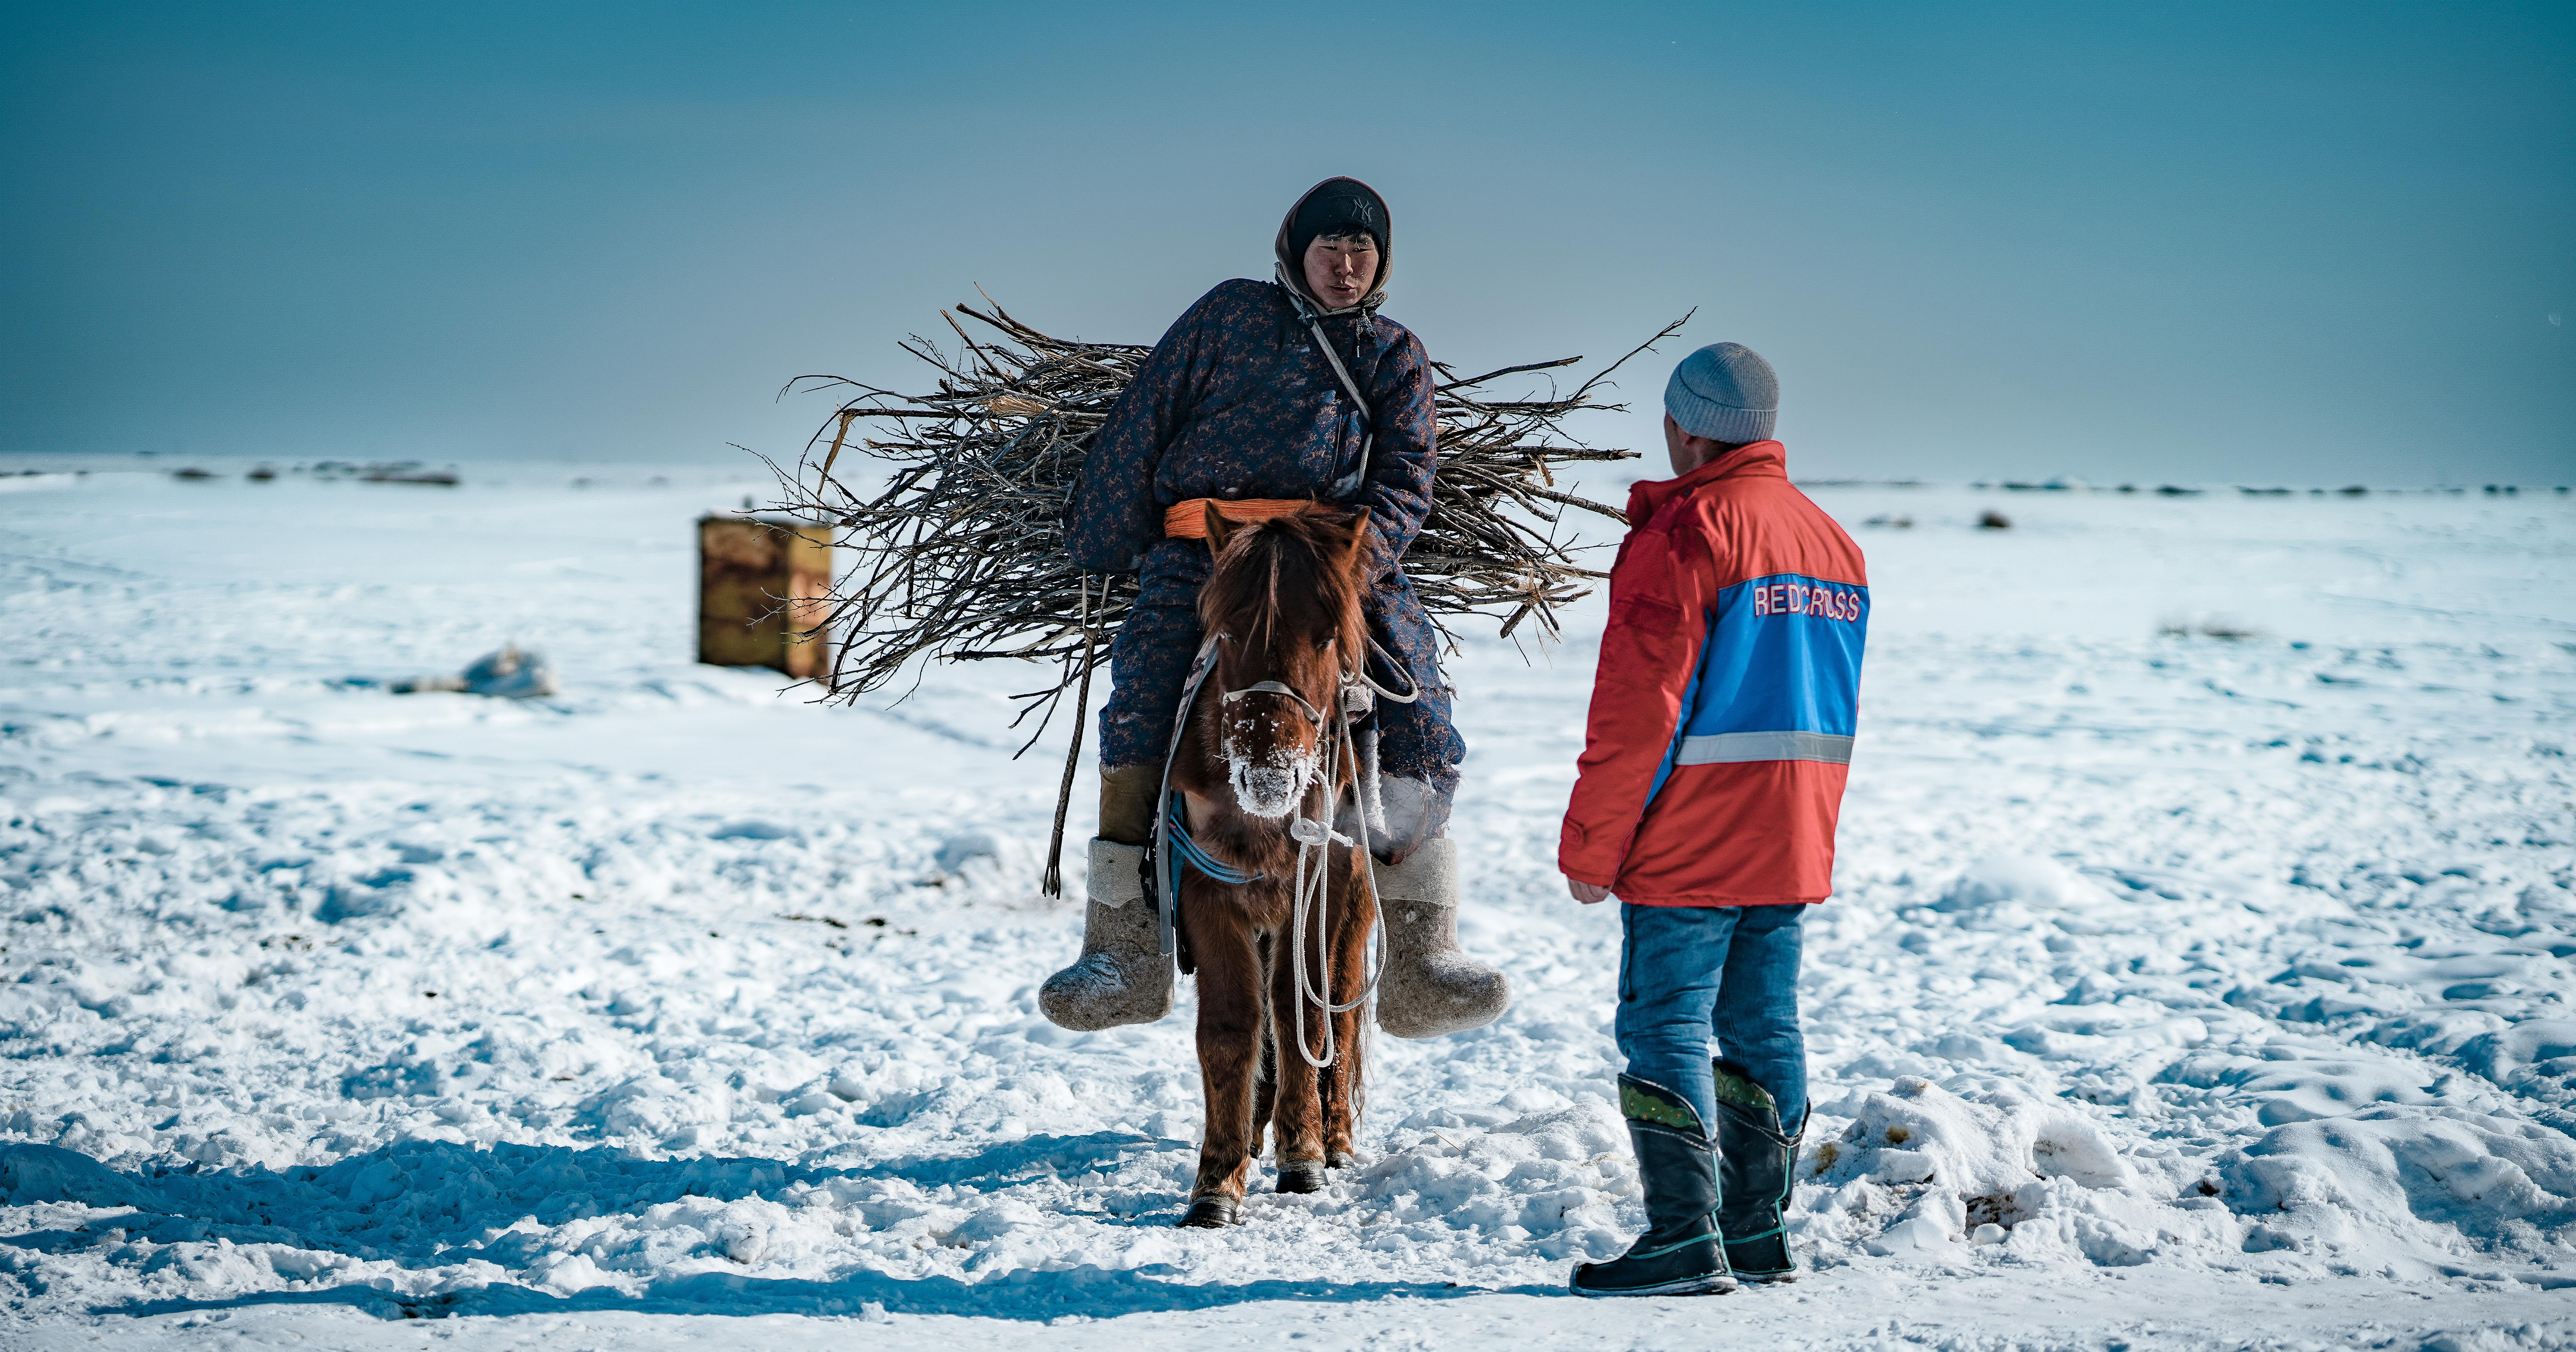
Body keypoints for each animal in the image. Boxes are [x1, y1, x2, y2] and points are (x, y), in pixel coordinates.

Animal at [1174, 494, 1391, 1220]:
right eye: (1226, 632)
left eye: (1325, 635)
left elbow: (1305, 1011)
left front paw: (1304, 1154)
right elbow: (1233, 1026)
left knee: (1340, 1010)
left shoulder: (1317, 893)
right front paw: (1218, 1179)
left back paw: (1335, 1138)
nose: (1268, 777)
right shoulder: (1209, 892)